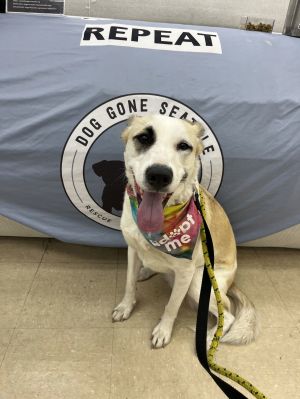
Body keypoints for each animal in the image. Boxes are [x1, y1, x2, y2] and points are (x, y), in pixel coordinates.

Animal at [112, 114, 258, 348]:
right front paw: (126, 306)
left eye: (183, 146)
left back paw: (208, 338)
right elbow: (129, 284)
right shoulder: (132, 250)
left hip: (198, 283)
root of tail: (233, 280)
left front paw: (163, 330)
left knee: (227, 315)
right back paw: (147, 270)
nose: (159, 175)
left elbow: (172, 306)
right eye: (143, 137)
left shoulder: (185, 274)